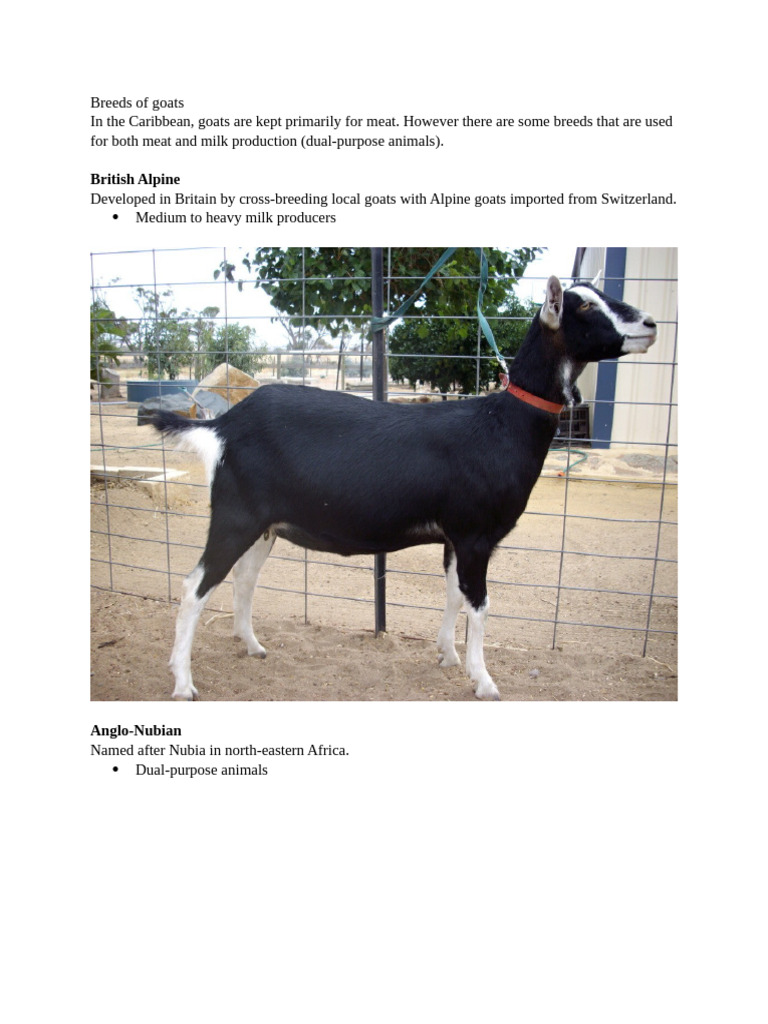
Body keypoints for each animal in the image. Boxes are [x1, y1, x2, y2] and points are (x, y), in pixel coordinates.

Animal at [152, 276, 657, 700]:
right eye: (584, 305)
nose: (650, 324)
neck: (502, 424)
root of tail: (222, 426)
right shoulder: (476, 534)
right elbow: (480, 604)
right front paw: (484, 681)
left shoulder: (456, 536)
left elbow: (454, 593)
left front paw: (448, 655)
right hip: (235, 516)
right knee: (195, 586)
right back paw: (182, 683)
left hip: (265, 525)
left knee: (243, 579)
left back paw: (252, 645)